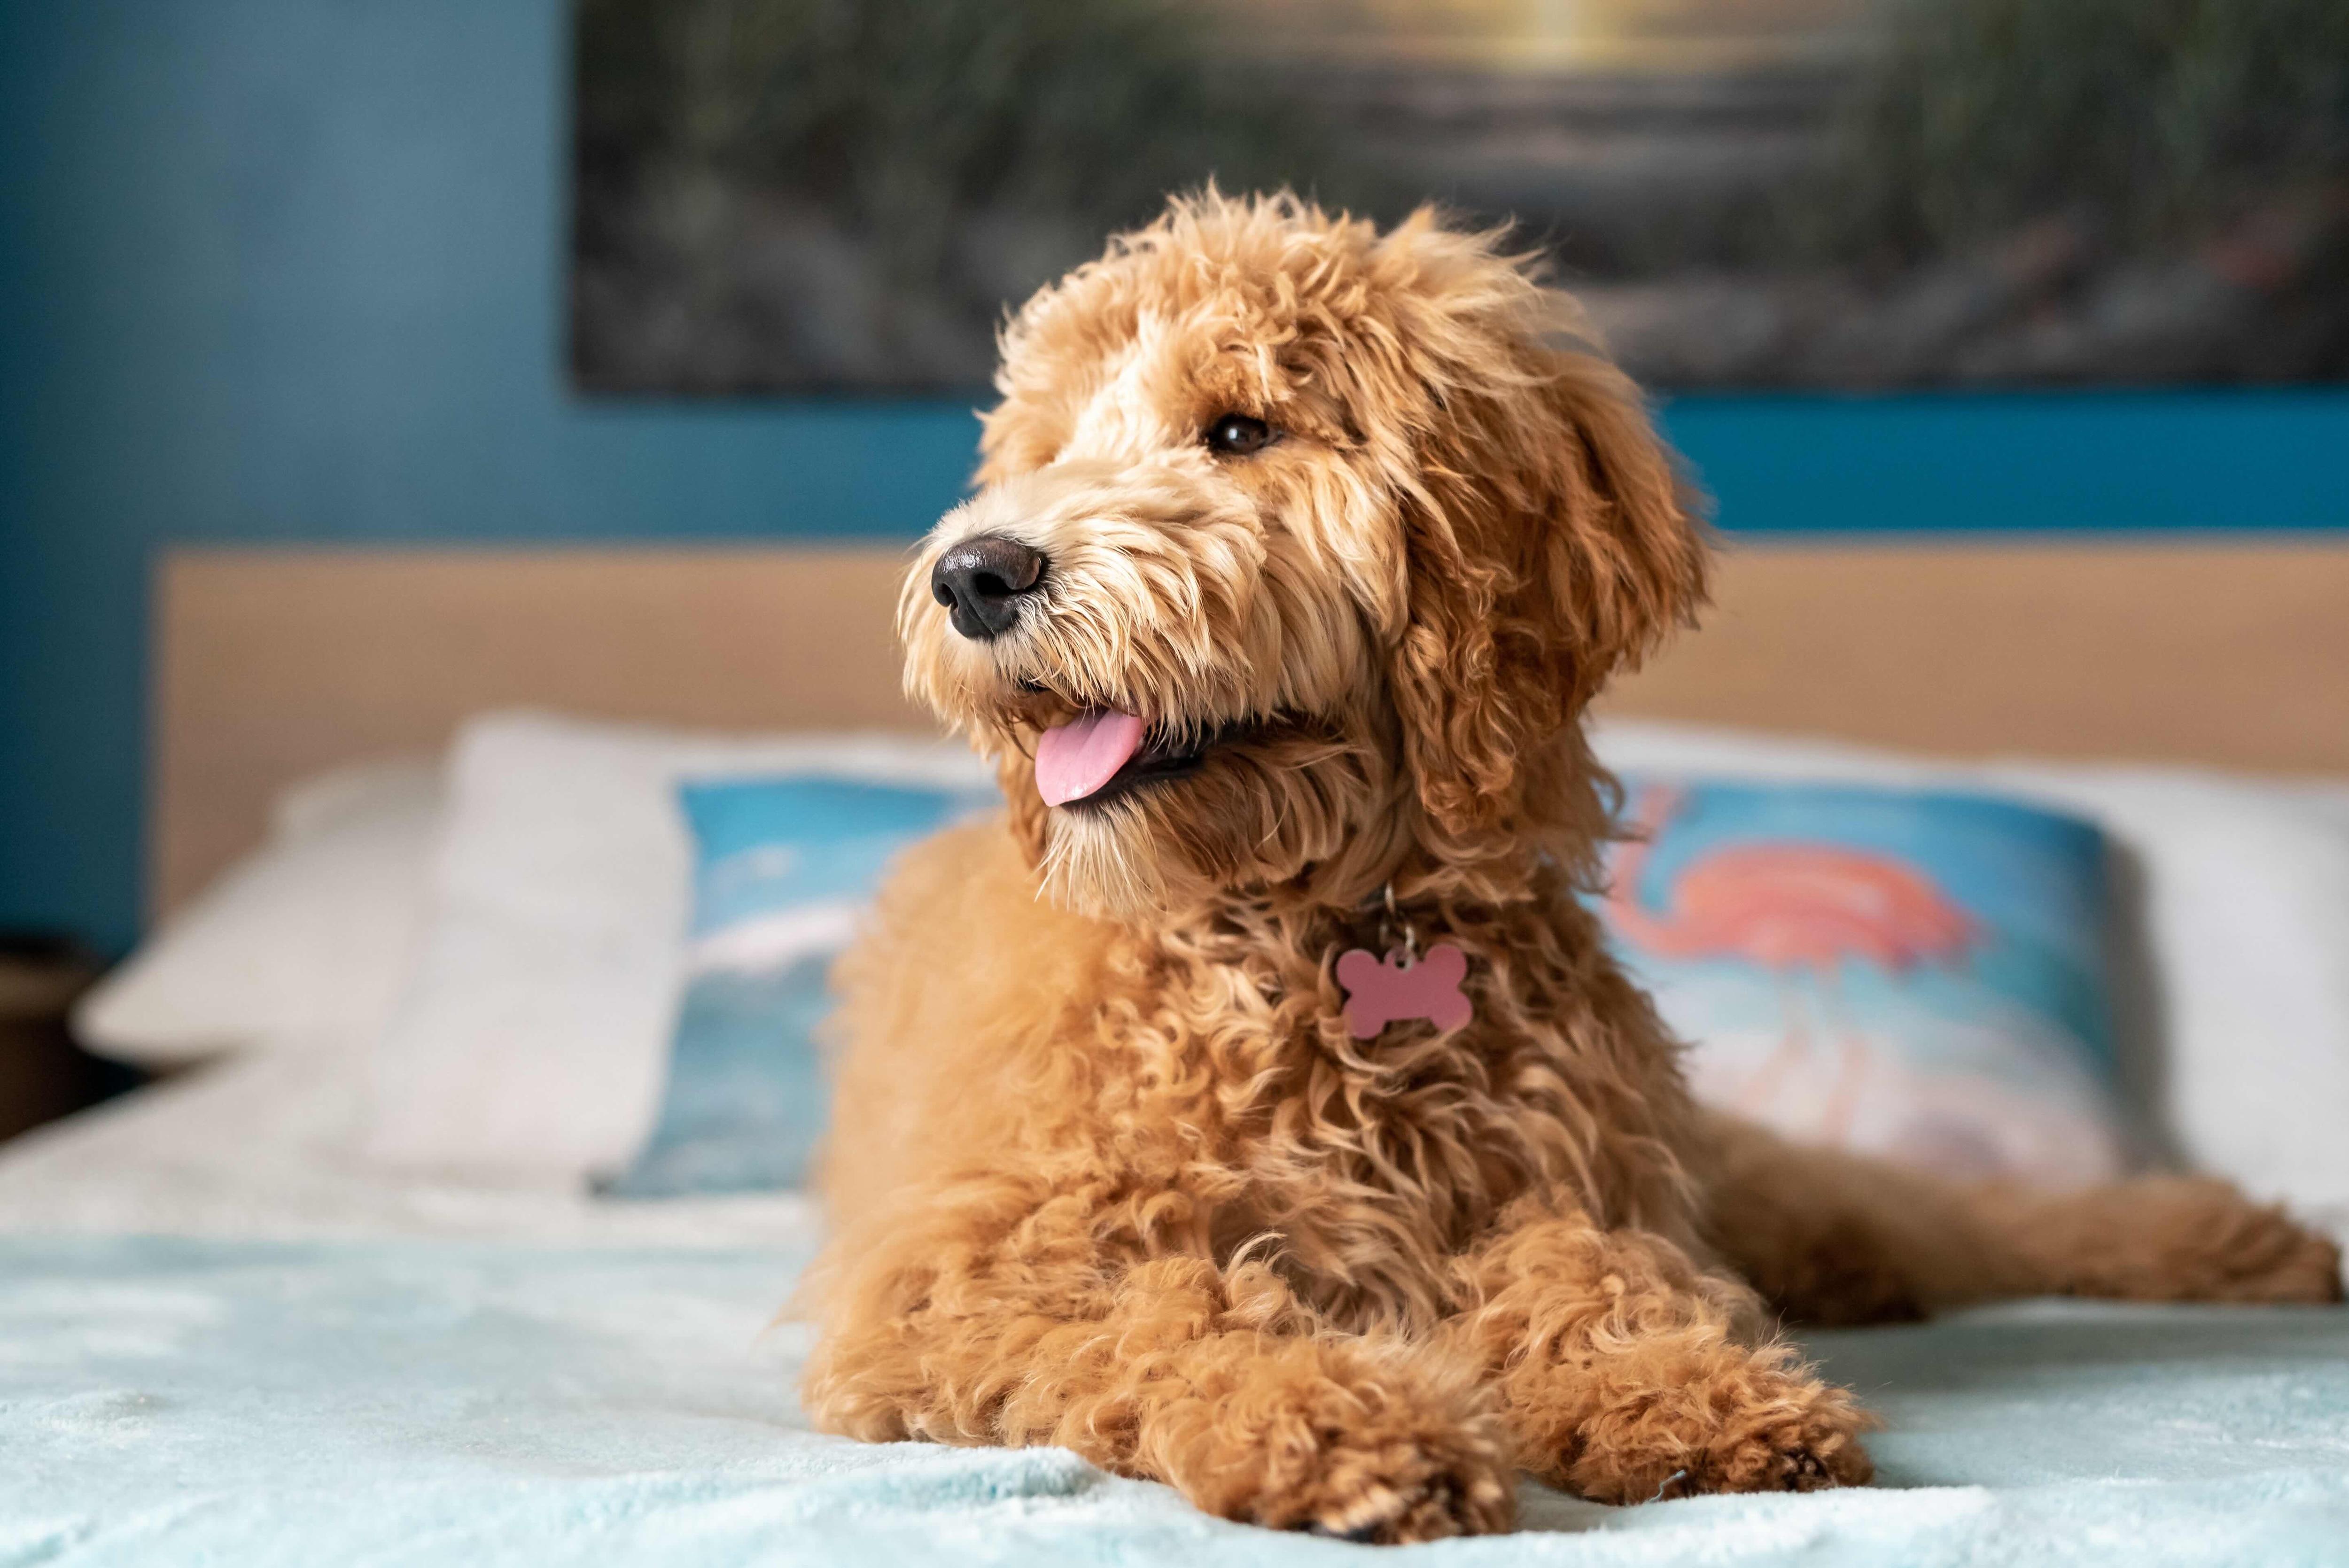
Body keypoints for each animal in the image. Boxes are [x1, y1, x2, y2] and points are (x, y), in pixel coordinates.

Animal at [794, 192, 2349, 1540]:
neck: (1315, 927)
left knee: (1949, 1215)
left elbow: (1590, 1265)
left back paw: (2228, 1240)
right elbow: (1172, 1313)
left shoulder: (1583, 1177)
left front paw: (1671, 1385)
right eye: (1048, 451)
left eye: (1240, 428)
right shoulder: (968, 1267)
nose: (974, 574)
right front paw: (1347, 1421)